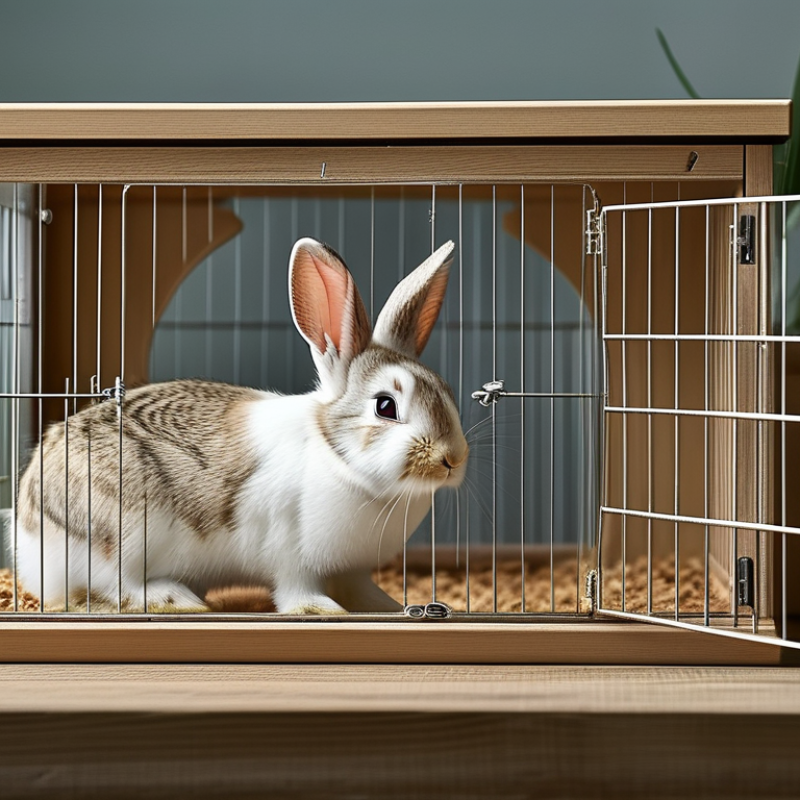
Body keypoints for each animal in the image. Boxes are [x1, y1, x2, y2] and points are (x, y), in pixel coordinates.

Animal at [14, 237, 468, 615]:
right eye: (385, 406)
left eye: (447, 390)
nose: (452, 459)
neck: (339, 459)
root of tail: (29, 527)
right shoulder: (292, 556)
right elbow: (297, 591)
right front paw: (320, 610)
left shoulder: (350, 571)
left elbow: (363, 591)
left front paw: (392, 606)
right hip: (123, 534)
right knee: (112, 587)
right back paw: (175, 599)